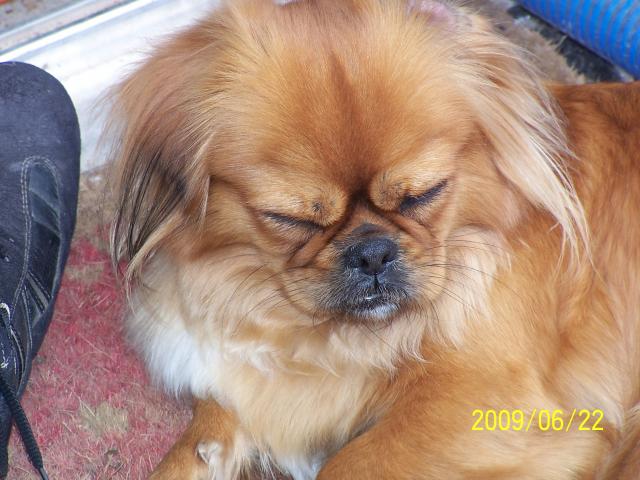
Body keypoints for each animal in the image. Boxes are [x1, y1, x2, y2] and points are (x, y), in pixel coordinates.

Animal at [109, 0, 640, 478]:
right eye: (290, 218)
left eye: (423, 193)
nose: (372, 252)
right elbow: (201, 438)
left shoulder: (493, 400)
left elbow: (346, 465)